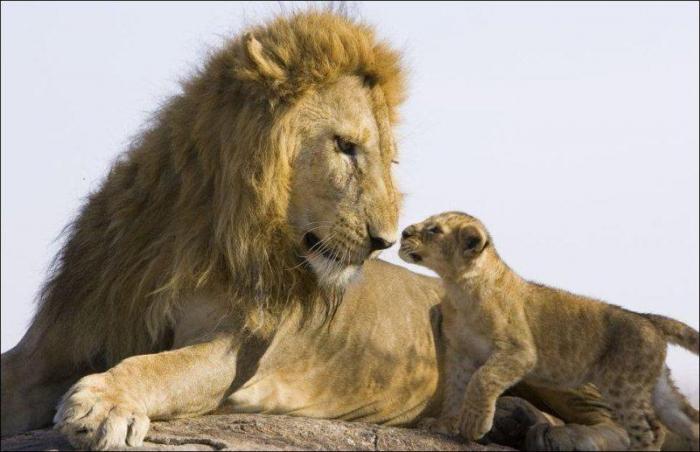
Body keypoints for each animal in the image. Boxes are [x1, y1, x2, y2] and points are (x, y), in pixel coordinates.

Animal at [0, 8, 680, 450]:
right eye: (346, 148)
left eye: (388, 161)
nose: (385, 240)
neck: (197, 228)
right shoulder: (60, 338)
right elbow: (17, 375)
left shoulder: (234, 350)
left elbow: (159, 366)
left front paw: (105, 402)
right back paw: (508, 422)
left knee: (637, 423)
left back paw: (565, 436)